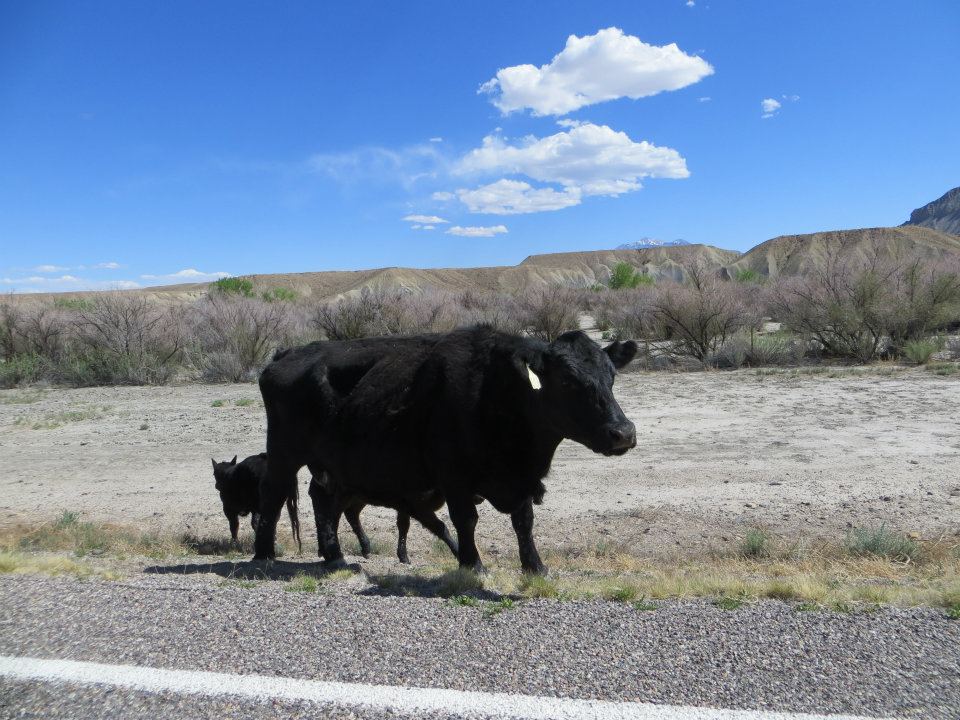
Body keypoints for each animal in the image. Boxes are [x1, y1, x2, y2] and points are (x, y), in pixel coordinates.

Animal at [255, 326, 636, 572]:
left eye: (612, 376)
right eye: (568, 380)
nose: (623, 432)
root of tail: (287, 353)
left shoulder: (520, 477)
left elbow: (523, 522)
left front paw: (535, 567)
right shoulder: (454, 477)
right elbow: (465, 520)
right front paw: (473, 564)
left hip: (330, 465)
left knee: (322, 499)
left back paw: (333, 556)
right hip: (284, 453)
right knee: (273, 495)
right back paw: (263, 556)